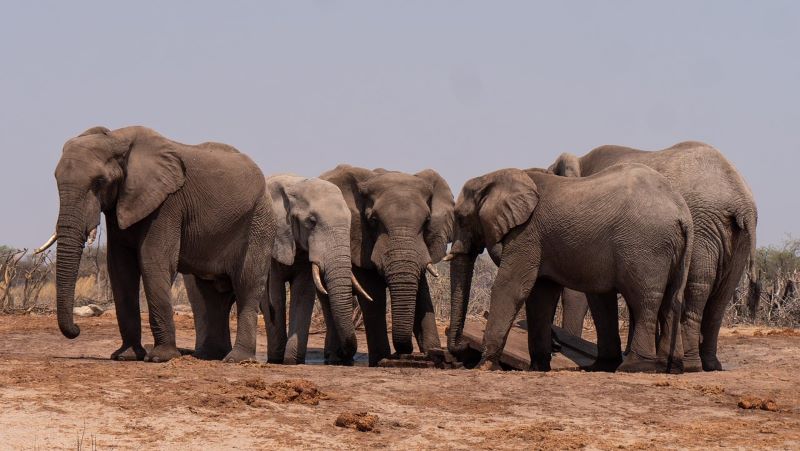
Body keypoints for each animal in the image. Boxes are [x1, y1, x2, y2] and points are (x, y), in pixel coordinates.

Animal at [40, 126, 276, 364]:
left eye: (99, 181)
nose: (77, 329)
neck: (117, 139)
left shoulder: (167, 204)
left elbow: (153, 262)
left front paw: (160, 357)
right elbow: (120, 269)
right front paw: (125, 356)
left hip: (259, 222)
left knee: (246, 284)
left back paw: (237, 359)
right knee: (211, 294)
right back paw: (209, 356)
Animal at [264, 175, 374, 366]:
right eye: (311, 222)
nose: (344, 356)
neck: (297, 185)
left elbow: (302, 294)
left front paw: (292, 361)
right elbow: (275, 296)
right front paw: (277, 360)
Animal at [320, 166, 456, 368]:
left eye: (427, 221)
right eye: (373, 220)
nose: (403, 352)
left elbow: (422, 292)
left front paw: (434, 354)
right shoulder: (360, 240)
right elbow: (372, 292)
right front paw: (381, 360)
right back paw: (335, 358)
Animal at [450, 166, 692, 374]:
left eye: (460, 218)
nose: (460, 350)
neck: (494, 178)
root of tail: (682, 212)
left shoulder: (526, 234)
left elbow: (511, 287)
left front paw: (484, 366)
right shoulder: (540, 240)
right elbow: (541, 296)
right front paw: (538, 368)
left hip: (646, 247)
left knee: (643, 300)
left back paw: (634, 367)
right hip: (670, 249)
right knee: (671, 300)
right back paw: (670, 367)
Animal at [552, 143, 756, 372]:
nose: (558, 346)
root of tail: (741, 199)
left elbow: (587, 291)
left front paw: (601, 365)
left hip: (704, 228)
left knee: (697, 288)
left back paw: (690, 365)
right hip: (737, 239)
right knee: (721, 297)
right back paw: (710, 365)